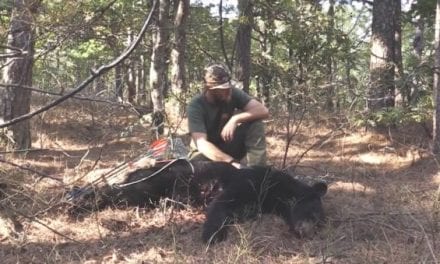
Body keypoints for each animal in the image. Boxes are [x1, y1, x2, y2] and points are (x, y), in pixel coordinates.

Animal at [66, 159, 326, 243]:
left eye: (320, 222)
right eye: (312, 212)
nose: (307, 231)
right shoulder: (246, 182)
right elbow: (221, 206)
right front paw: (212, 235)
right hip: (153, 183)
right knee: (117, 192)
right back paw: (76, 202)